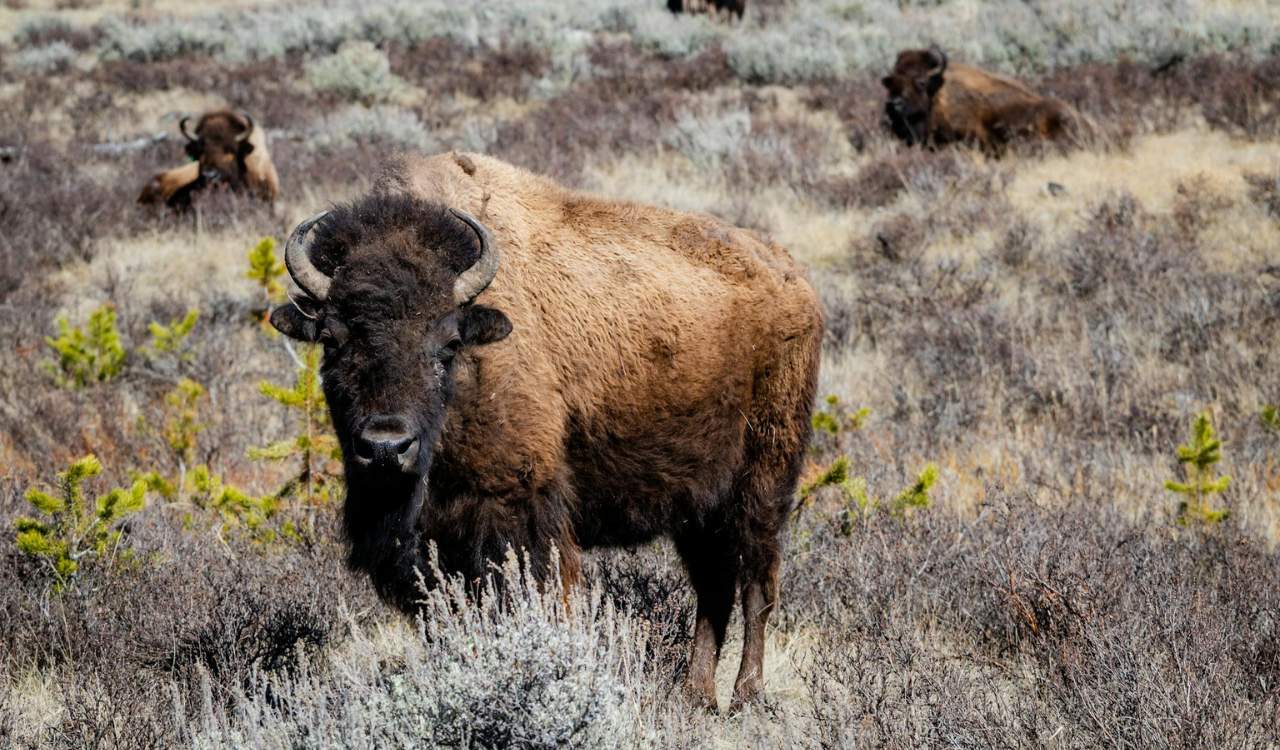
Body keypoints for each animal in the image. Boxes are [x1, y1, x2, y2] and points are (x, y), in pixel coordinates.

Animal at [269, 152, 823, 710]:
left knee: (757, 584)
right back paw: (695, 694)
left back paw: (746, 694)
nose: (386, 447)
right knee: (713, 588)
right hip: (698, 506)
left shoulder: (520, 516)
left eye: (448, 343)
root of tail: (794, 280)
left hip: (763, 482)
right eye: (332, 341)